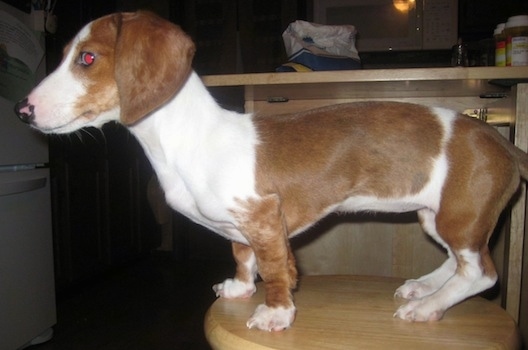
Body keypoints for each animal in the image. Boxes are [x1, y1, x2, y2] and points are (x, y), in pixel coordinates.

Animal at [14, 11, 528, 330]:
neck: (187, 139)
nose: (22, 110)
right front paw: (241, 289)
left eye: (87, 58)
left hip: (459, 216)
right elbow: (244, 258)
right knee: (458, 263)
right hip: (435, 216)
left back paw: (430, 307)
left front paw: (276, 314)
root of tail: (504, 142)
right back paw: (424, 289)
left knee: (480, 273)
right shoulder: (240, 228)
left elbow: (277, 269)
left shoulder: (263, 216)